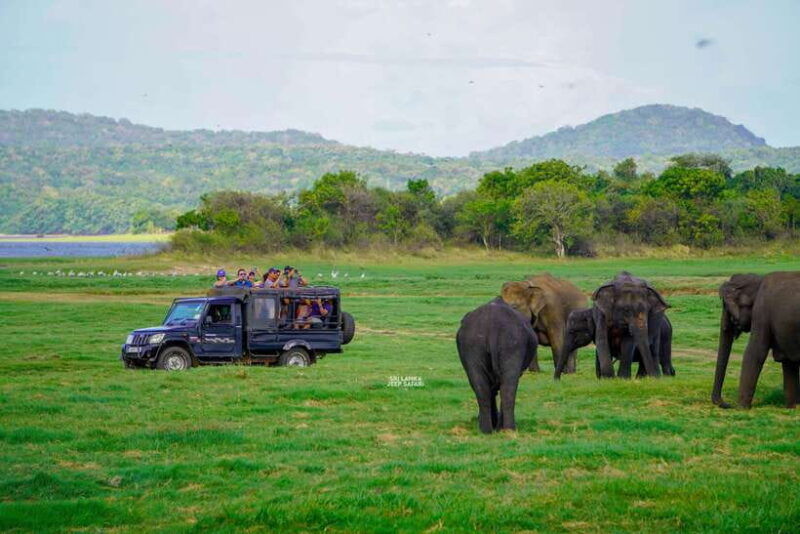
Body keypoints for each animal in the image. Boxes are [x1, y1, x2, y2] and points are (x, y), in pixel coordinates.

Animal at [456, 297, 538, 433]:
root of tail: (493, 325)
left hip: (473, 344)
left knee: (482, 387)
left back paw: (487, 430)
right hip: (512, 343)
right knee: (508, 387)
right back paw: (508, 429)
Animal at [712, 272, 800, 409]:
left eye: (726, 307)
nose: (727, 404)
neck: (758, 280)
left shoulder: (761, 312)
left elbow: (755, 351)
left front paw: (741, 408)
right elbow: (788, 362)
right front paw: (793, 407)